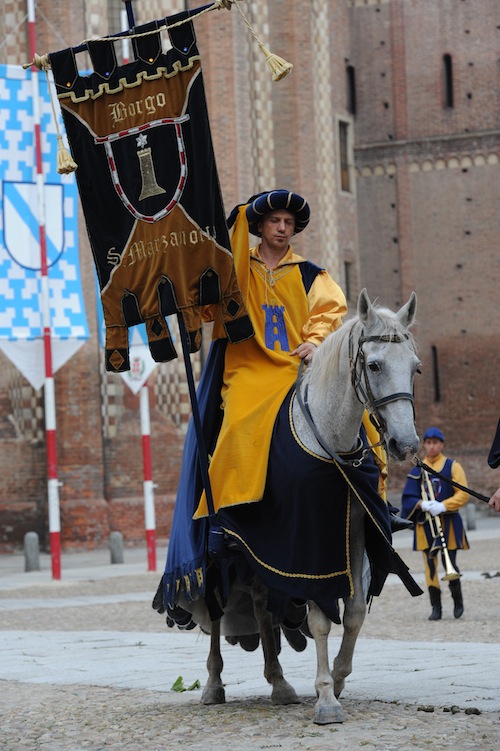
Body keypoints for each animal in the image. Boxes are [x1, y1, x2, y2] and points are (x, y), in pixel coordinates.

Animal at [158, 288, 420, 724]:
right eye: (374, 364)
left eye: (415, 368)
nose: (407, 443)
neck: (329, 441)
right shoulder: (307, 547)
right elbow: (319, 620)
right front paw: (326, 697)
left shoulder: (351, 533)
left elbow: (353, 613)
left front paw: (339, 678)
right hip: (222, 551)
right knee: (216, 610)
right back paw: (213, 683)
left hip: (260, 551)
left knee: (262, 606)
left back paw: (278, 682)